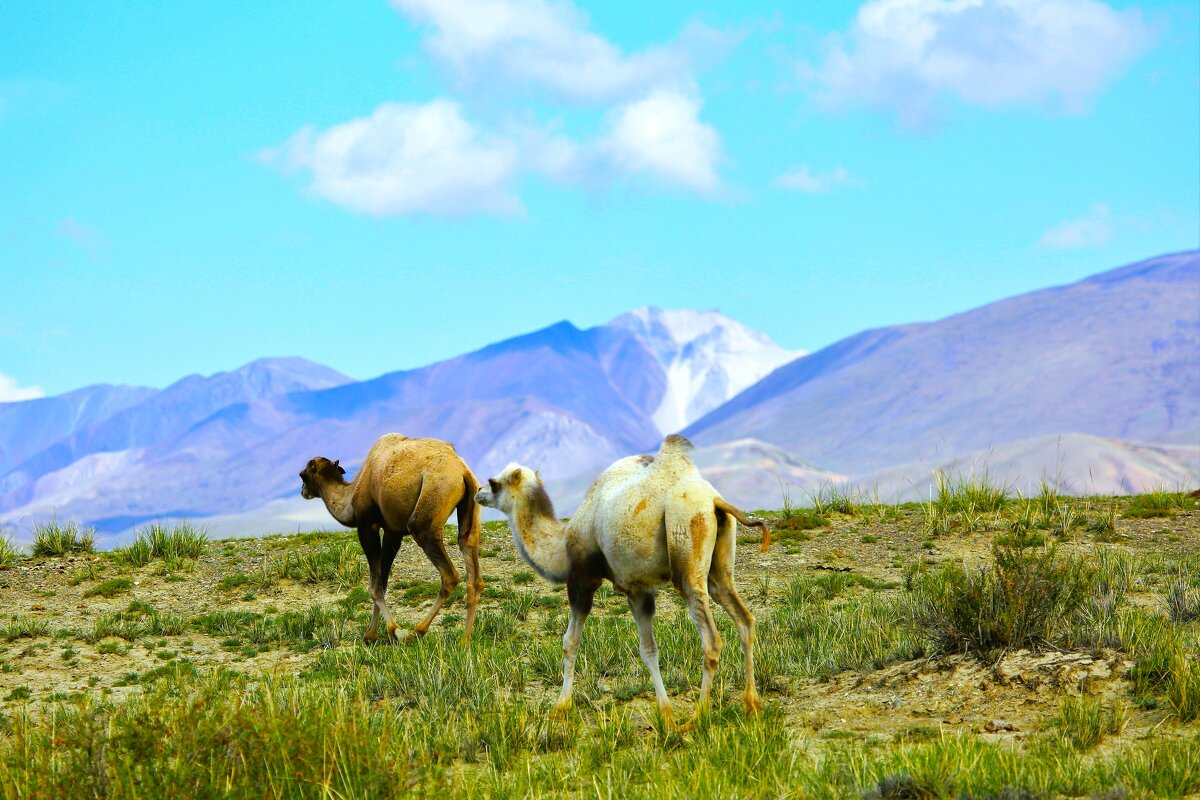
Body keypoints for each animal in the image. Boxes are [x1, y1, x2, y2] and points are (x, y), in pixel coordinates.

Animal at [298, 431, 482, 642]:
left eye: (303, 474)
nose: (302, 490)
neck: (351, 496)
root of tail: (463, 473)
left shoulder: (367, 526)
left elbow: (375, 585)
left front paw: (390, 630)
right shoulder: (393, 531)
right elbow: (383, 581)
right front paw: (373, 633)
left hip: (428, 511)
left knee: (449, 574)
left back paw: (417, 632)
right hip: (470, 509)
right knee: (470, 560)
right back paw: (464, 640)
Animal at [472, 434, 763, 729]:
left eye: (494, 482)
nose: (478, 492)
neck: (562, 546)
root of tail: (713, 501)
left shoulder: (582, 580)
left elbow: (569, 643)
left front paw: (561, 707)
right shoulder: (637, 589)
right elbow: (649, 650)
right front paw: (665, 713)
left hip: (686, 538)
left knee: (712, 640)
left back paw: (698, 716)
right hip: (720, 565)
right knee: (744, 619)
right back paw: (751, 706)